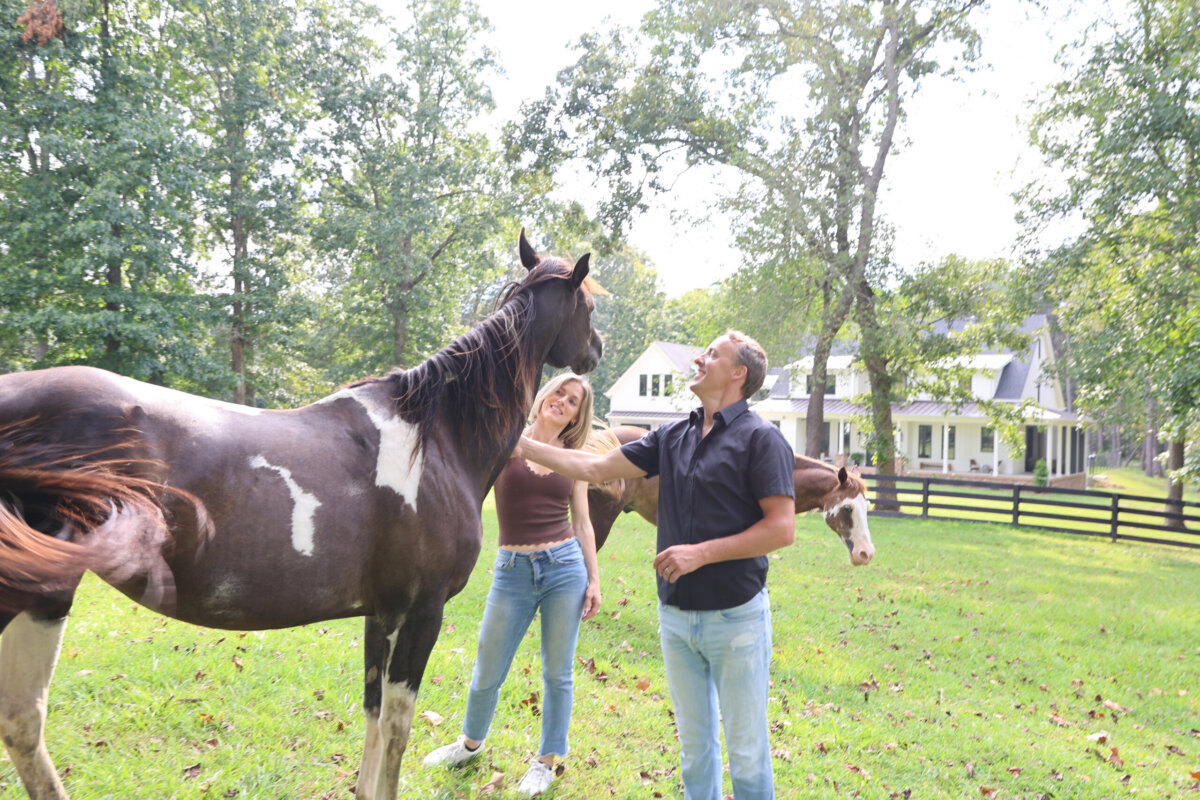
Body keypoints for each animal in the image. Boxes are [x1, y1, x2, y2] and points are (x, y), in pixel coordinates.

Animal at [0, 231, 602, 800]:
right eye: (589, 307)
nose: (596, 351)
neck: (435, 438)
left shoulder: (382, 613)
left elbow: (373, 713)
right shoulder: (421, 613)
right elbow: (398, 728)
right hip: (40, 593)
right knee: (24, 720)